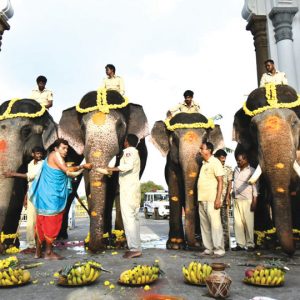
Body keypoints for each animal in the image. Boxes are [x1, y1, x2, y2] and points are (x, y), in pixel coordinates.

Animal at [55, 90, 149, 252]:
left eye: (120, 125)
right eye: (82, 127)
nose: (90, 246)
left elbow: (118, 184)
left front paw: (121, 243)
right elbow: (88, 179)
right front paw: (96, 243)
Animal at [151, 112, 224, 248]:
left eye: (205, 138)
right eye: (174, 139)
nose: (194, 241)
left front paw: (199, 242)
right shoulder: (171, 165)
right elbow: (175, 193)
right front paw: (175, 245)